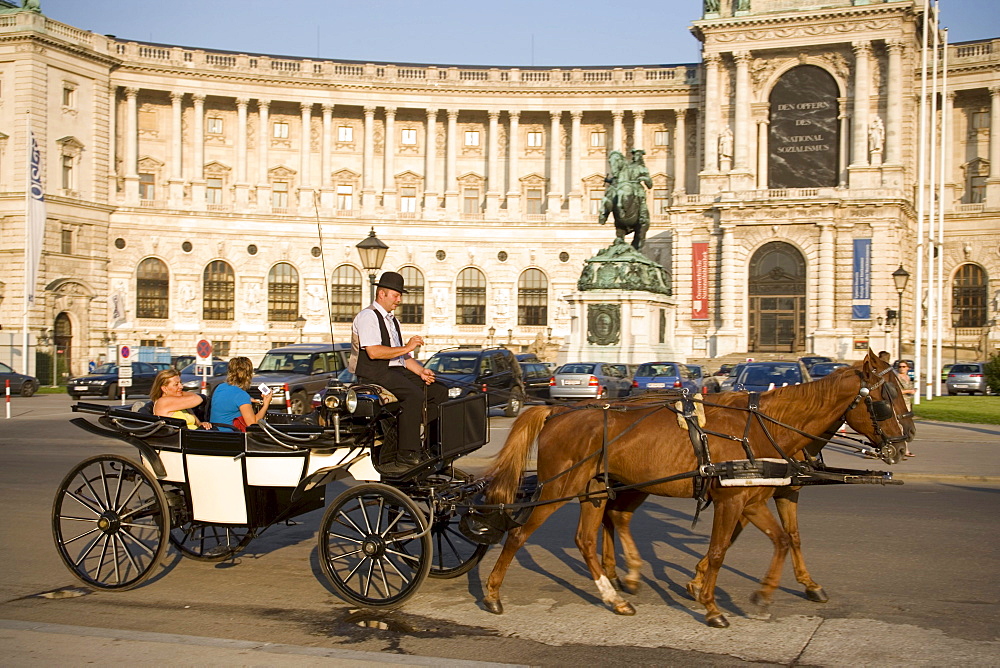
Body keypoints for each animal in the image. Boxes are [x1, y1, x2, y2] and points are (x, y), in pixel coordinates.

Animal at [484, 352, 916, 628]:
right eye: (885, 398)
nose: (906, 442)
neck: (763, 426)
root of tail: (559, 409)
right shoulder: (735, 499)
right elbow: (723, 548)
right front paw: (710, 604)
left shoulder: (757, 498)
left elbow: (783, 539)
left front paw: (759, 593)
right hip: (559, 486)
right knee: (520, 533)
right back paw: (493, 593)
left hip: (598, 489)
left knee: (592, 534)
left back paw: (616, 593)